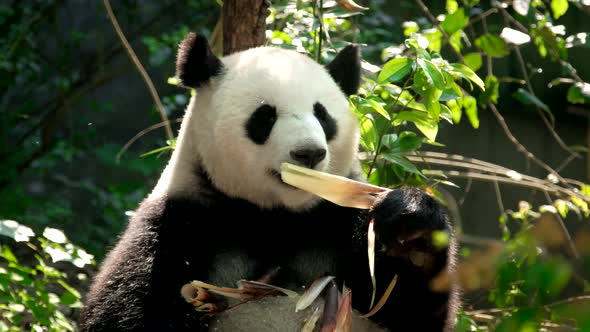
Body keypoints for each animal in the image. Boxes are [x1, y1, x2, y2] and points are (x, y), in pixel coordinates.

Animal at [76, 31, 460, 332]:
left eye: (323, 116)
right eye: (264, 117)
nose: (309, 153)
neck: (274, 217)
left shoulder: (336, 224)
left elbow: (405, 308)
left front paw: (411, 230)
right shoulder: (181, 225)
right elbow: (126, 311)